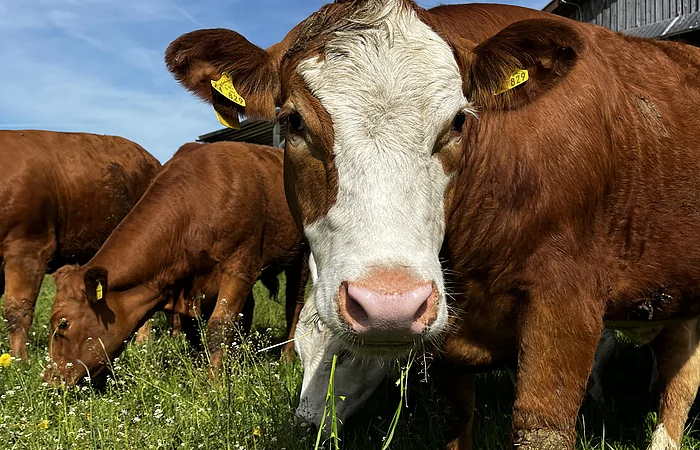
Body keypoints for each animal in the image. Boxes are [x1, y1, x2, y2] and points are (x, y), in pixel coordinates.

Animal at [44, 141, 308, 384]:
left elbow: (218, 326)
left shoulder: (240, 266)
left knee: (294, 306)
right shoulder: (187, 287)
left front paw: (214, 383)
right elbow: (195, 331)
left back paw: (286, 358)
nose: (49, 380)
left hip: (302, 258)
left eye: (63, 324)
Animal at [165, 1, 700, 449]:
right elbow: (456, 418)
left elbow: (541, 425)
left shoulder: (567, 305)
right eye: (294, 122)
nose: (389, 305)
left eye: (460, 121)